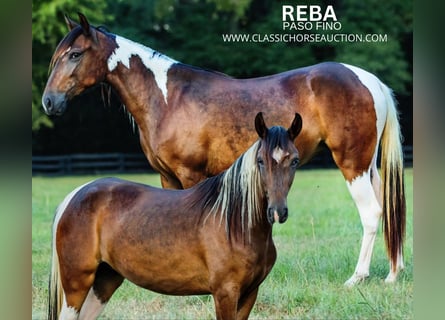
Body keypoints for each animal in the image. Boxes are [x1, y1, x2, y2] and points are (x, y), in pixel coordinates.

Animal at [42, 13, 406, 286]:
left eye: (75, 54)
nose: (48, 102)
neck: (168, 98)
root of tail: (369, 80)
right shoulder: (167, 177)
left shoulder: (191, 174)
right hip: (368, 166)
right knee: (387, 209)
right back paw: (392, 273)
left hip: (352, 164)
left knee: (372, 213)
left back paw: (357, 278)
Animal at [48, 112, 304, 320]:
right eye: (260, 161)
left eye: (295, 161)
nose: (277, 211)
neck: (236, 224)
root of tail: (78, 193)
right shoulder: (225, 293)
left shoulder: (250, 293)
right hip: (77, 284)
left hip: (104, 281)